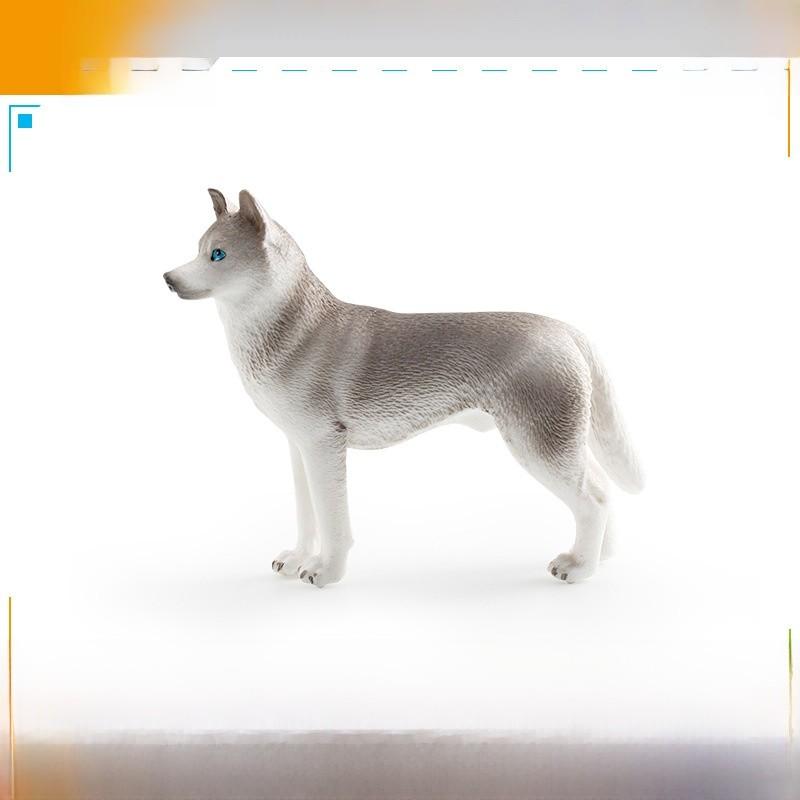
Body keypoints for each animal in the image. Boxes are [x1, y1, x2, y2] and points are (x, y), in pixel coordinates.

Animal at [164, 189, 644, 588]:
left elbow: (333, 522)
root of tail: (566, 331)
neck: (294, 330)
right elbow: (307, 515)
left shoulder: (323, 447)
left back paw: (579, 569)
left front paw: (326, 571)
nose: (168, 278)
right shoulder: (299, 446)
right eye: (199, 250)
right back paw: (597, 558)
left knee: (593, 500)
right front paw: (299, 558)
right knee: (601, 490)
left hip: (538, 446)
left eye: (218, 254)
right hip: (559, 440)